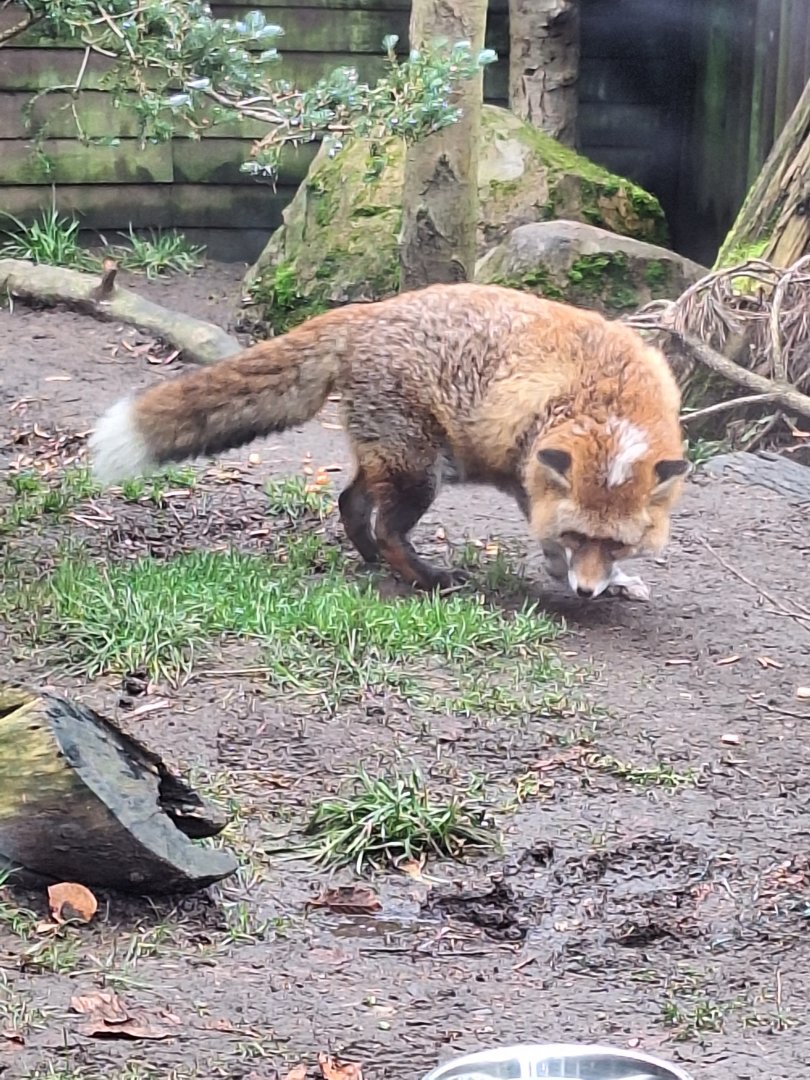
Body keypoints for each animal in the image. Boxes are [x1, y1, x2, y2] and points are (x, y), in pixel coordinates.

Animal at [89, 282, 690, 601]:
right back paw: (423, 577)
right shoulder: (531, 473)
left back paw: (373, 560)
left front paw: (615, 581)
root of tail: (364, 311)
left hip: (392, 460)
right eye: (577, 535)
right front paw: (562, 575)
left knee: (348, 503)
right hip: (420, 473)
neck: (609, 405)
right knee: (386, 525)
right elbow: (545, 540)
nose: (587, 592)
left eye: (615, 544)